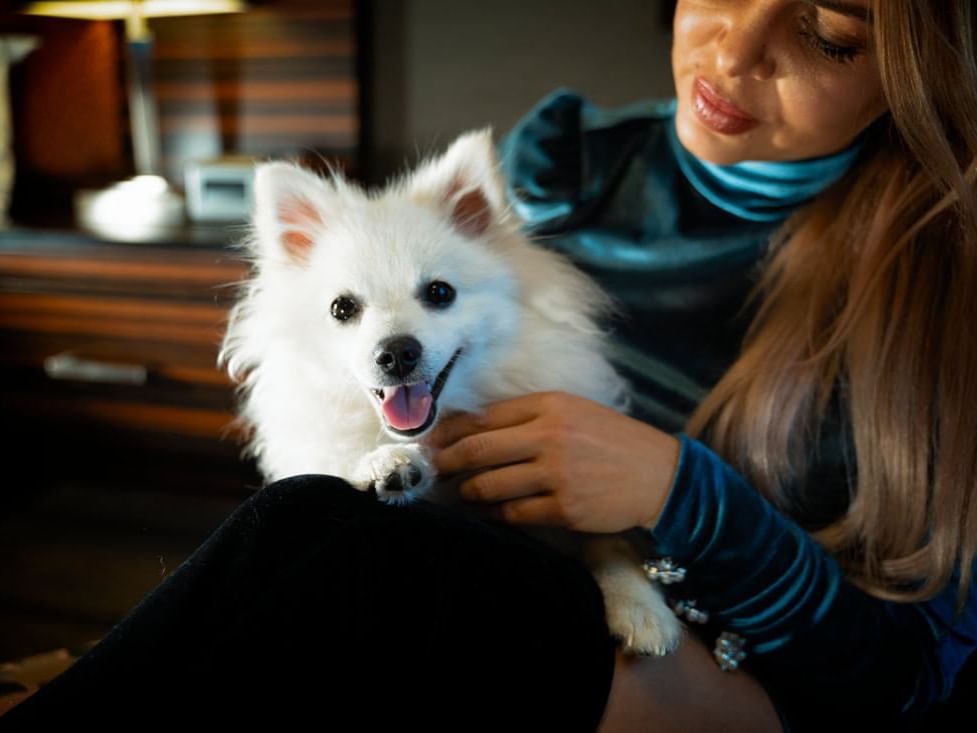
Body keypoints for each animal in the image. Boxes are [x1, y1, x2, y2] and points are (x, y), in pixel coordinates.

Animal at [219, 129, 680, 656]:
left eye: (440, 293)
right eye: (342, 308)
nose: (397, 353)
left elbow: (609, 539)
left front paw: (639, 604)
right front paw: (388, 463)